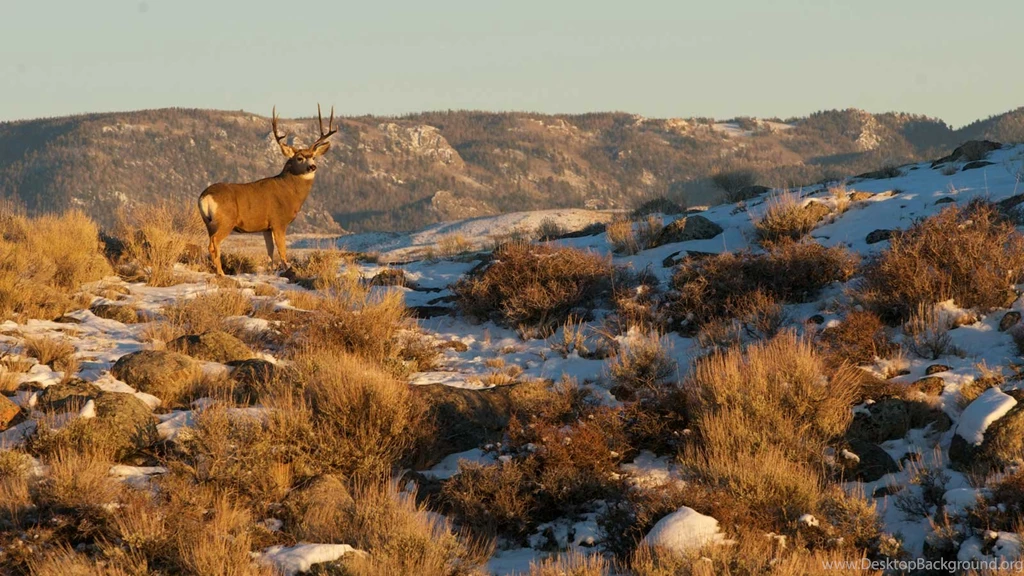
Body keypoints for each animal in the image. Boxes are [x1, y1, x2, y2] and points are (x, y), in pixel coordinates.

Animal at [197, 105, 337, 275]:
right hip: (225, 220)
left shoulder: (266, 227)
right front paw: (287, 269)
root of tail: (205, 196)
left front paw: (270, 271)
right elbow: (282, 250)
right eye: (299, 158)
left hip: (208, 222)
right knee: (214, 244)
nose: (312, 167)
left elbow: (269, 251)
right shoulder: (279, 221)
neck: (290, 192)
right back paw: (221, 273)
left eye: (314, 157)